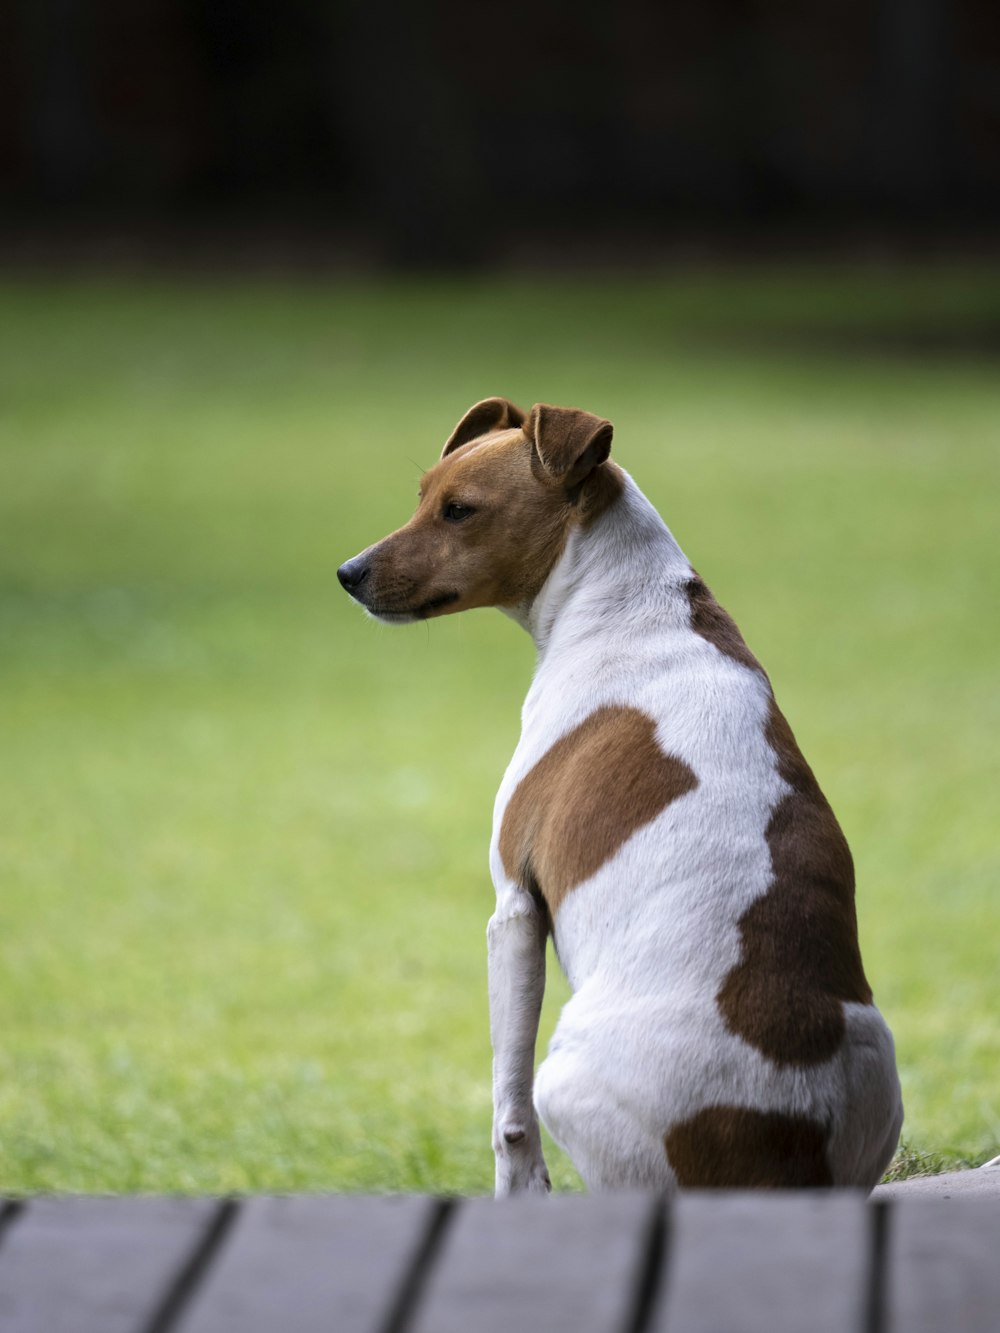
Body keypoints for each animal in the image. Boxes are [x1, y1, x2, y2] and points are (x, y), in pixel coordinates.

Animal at [341, 397, 906, 1199]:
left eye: (459, 510)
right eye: (421, 494)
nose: (347, 572)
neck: (625, 604)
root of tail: (785, 1148)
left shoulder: (514, 908)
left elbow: (507, 1116)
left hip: (565, 1079)